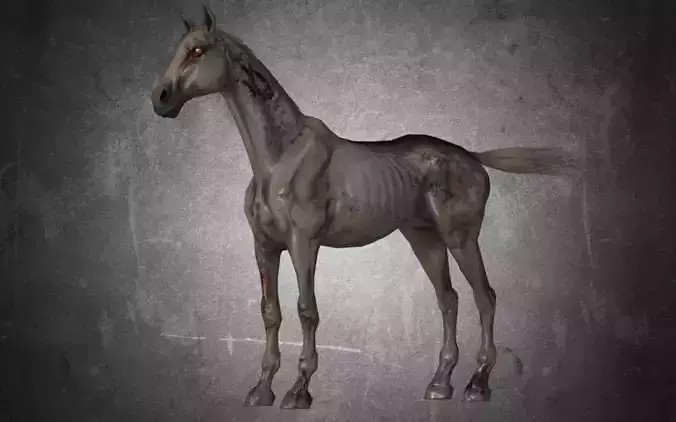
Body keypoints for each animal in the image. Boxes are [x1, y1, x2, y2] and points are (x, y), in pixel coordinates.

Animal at [150, 5, 576, 410]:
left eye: (197, 50)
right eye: (177, 48)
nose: (160, 98)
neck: (279, 158)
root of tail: (470, 156)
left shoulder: (304, 243)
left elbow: (306, 310)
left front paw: (299, 390)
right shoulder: (264, 246)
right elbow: (270, 311)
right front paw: (261, 389)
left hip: (461, 238)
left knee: (484, 297)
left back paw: (477, 384)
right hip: (425, 240)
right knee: (449, 300)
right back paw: (439, 384)